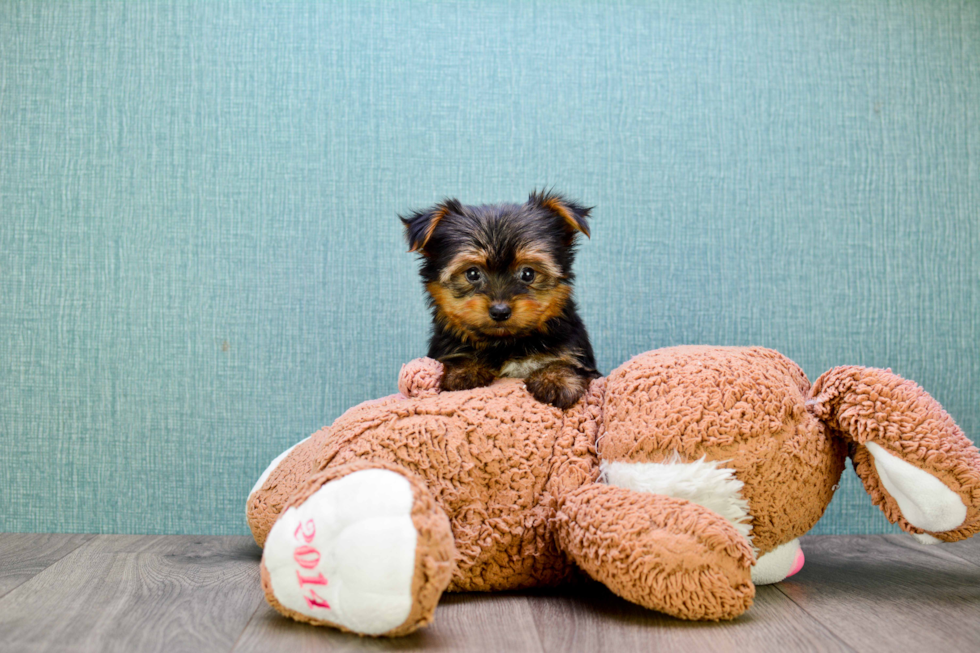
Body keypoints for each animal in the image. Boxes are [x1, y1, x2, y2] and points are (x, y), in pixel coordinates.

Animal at [398, 190, 596, 408]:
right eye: (472, 273)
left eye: (528, 274)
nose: (500, 311)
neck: (504, 343)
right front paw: (464, 371)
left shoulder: (574, 350)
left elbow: (566, 361)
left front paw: (556, 379)